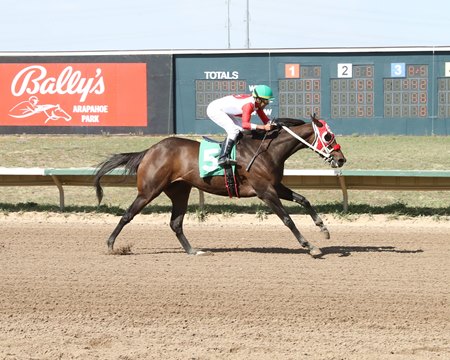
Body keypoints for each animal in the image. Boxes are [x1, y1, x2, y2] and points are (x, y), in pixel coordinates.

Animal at [95, 114, 346, 258]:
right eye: (328, 136)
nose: (342, 159)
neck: (268, 150)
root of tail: (150, 150)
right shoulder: (265, 191)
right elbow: (287, 219)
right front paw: (309, 246)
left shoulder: (275, 186)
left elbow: (304, 199)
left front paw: (323, 228)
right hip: (149, 190)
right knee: (127, 215)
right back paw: (110, 245)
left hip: (180, 191)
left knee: (176, 223)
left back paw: (194, 251)